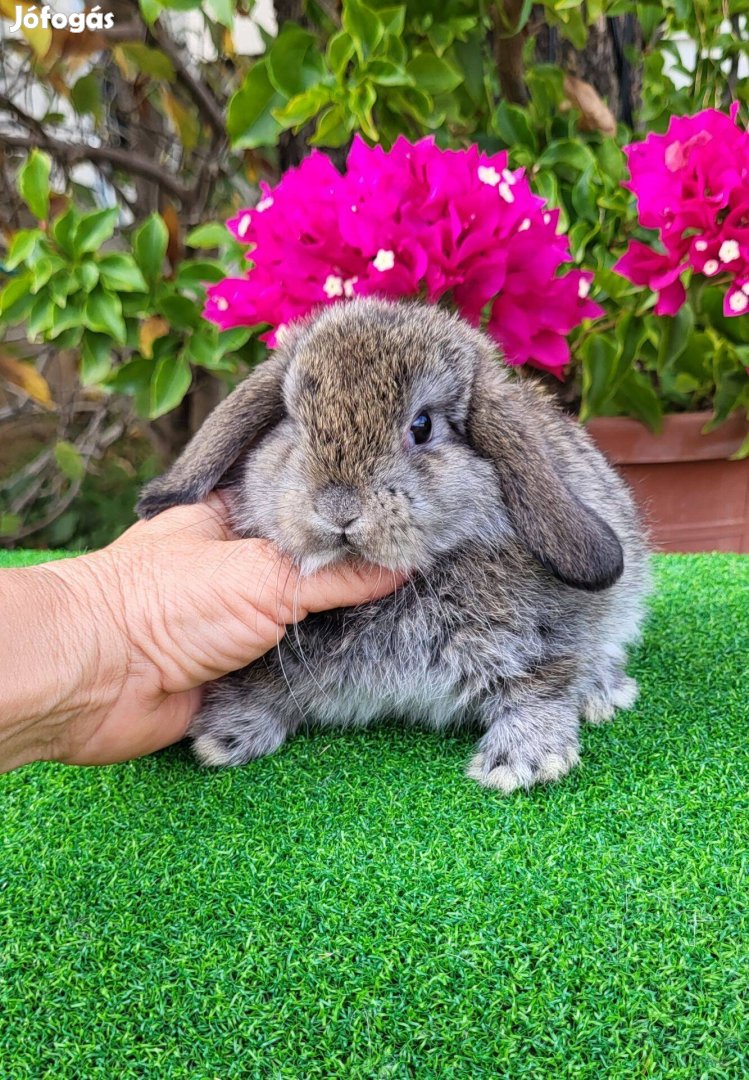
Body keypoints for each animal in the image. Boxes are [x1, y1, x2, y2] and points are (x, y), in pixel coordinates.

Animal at [136, 295, 651, 794]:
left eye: (422, 426)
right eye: (294, 425)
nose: (339, 508)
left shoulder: (548, 638)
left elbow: (543, 682)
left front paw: (522, 761)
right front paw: (225, 735)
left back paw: (603, 693)